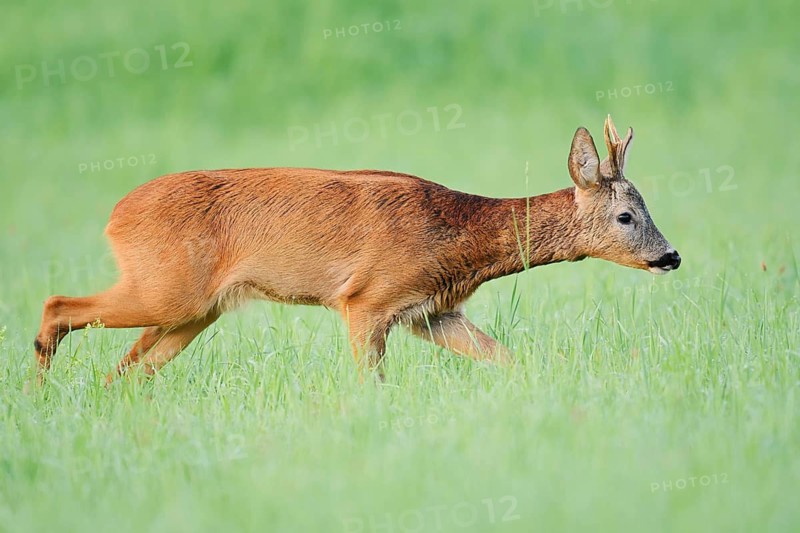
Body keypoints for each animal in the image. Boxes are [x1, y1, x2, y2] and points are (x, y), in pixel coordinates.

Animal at [32, 115, 680, 384]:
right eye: (625, 216)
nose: (670, 257)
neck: (459, 236)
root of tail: (115, 217)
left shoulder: (430, 311)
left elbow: (509, 359)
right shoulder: (366, 299)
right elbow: (373, 385)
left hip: (195, 309)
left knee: (125, 370)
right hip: (168, 288)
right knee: (58, 305)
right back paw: (36, 387)